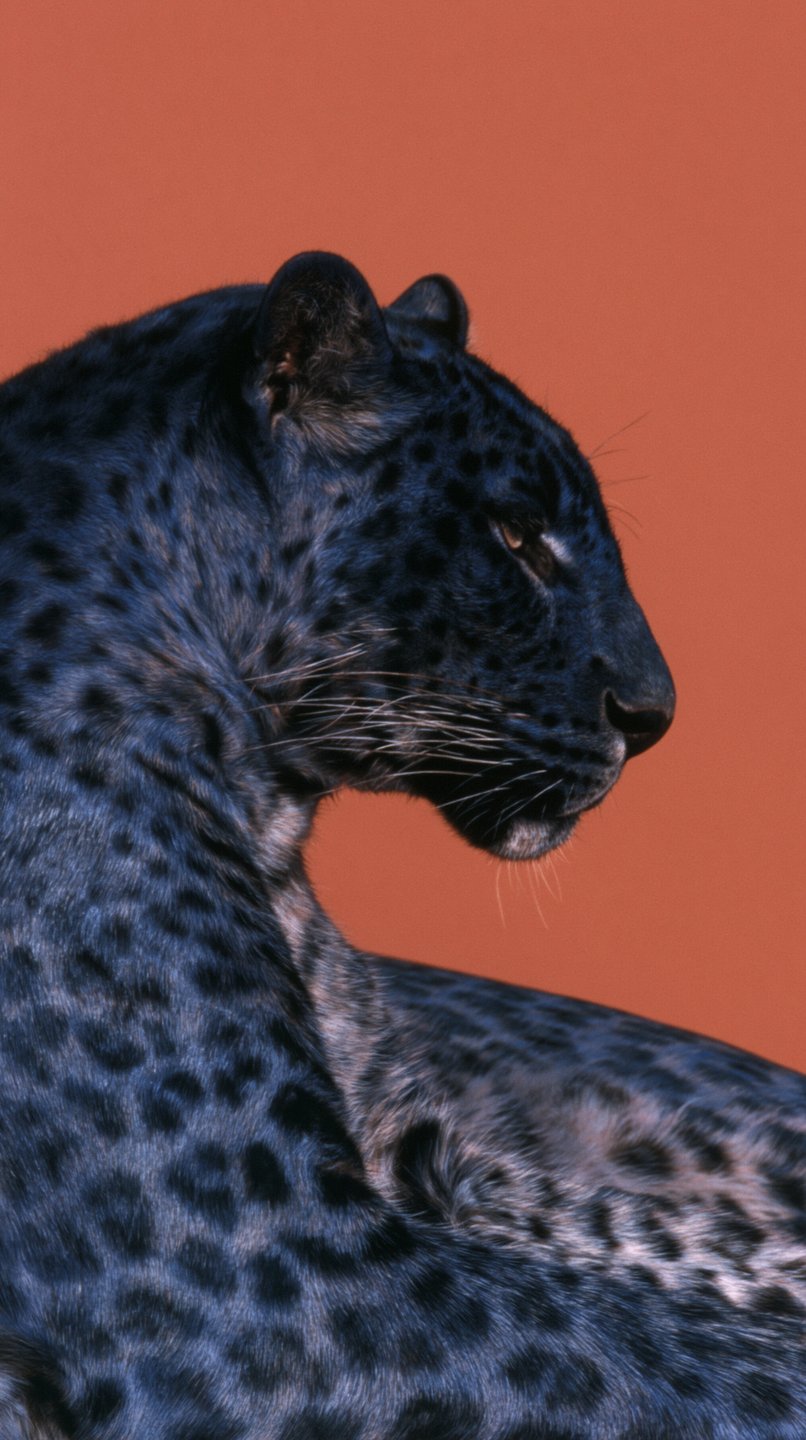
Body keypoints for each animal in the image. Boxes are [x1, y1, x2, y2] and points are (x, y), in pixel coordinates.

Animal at [0, 250, 803, 1439]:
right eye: (515, 535)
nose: (652, 715)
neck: (271, 819)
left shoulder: (429, 1171)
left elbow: (676, 1259)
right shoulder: (286, 1266)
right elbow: (698, 1356)